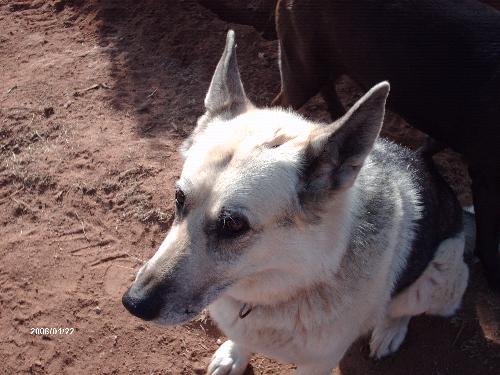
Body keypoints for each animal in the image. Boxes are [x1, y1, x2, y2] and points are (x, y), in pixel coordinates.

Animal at [123, 31, 470, 374]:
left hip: (440, 279)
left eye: (233, 224)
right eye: (179, 198)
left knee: (407, 304)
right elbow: (242, 338)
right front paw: (235, 353)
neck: (300, 277)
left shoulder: (319, 362)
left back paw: (390, 330)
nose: (133, 303)